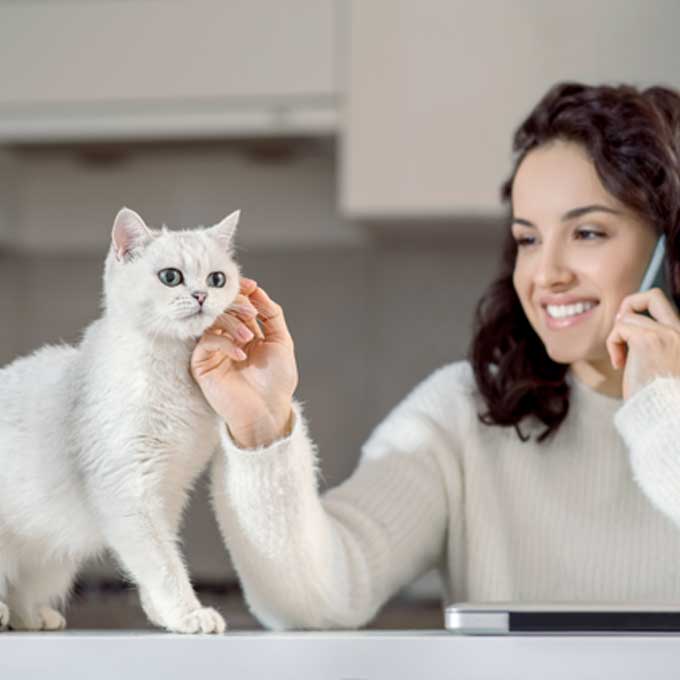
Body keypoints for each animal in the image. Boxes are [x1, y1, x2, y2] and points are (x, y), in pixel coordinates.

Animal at [0, 206, 243, 632]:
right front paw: (188, 613)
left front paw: (162, 613)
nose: (201, 296)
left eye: (218, 279)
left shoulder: (169, 492)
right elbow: (162, 565)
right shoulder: (129, 492)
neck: (170, 371)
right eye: (170, 276)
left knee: (21, 593)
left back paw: (33, 616)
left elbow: (161, 554)